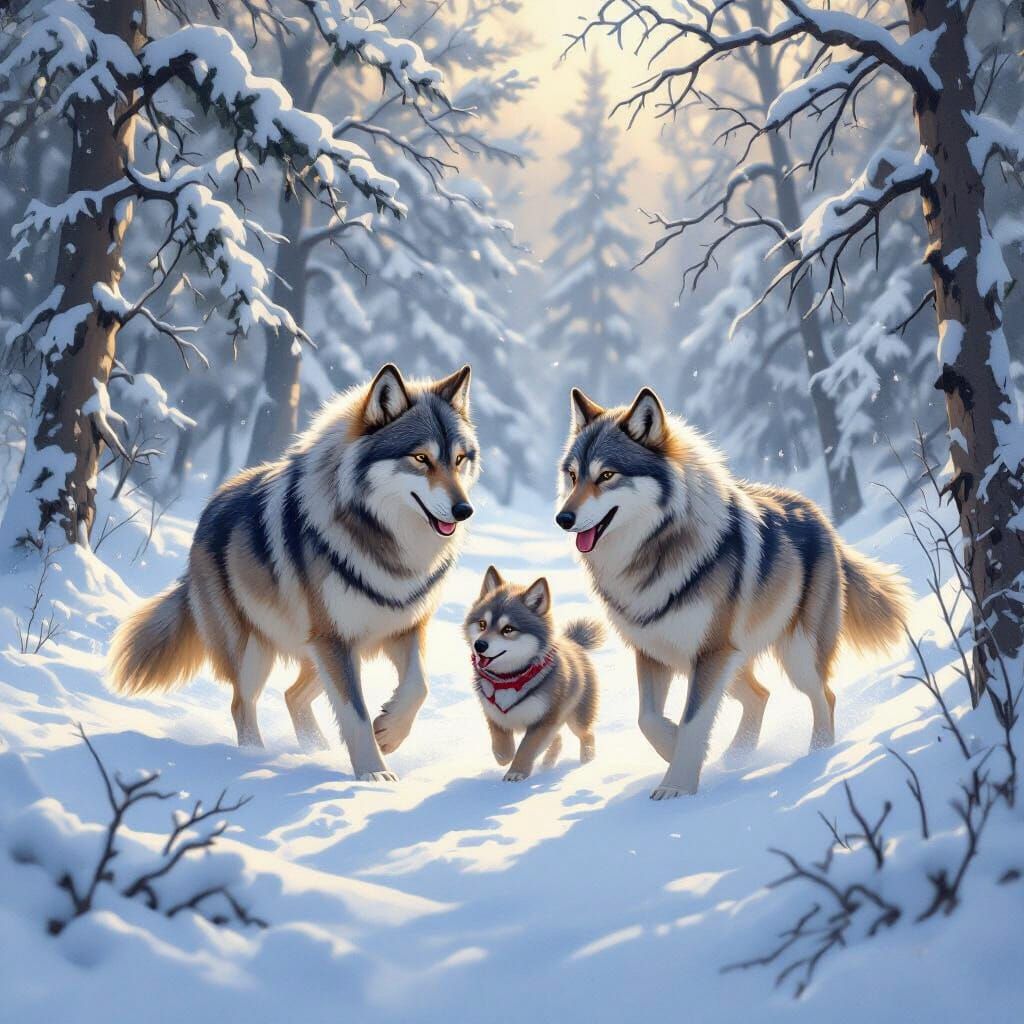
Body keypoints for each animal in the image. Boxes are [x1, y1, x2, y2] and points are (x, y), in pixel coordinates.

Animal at [109, 363, 480, 781]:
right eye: (420, 458)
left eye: (460, 459)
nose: (465, 510)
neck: (385, 543)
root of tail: (209, 508)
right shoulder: (335, 639)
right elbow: (356, 713)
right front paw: (374, 774)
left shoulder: (404, 628)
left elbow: (419, 686)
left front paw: (388, 733)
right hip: (259, 651)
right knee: (242, 704)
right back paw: (253, 756)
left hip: (323, 652)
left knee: (291, 694)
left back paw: (314, 749)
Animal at [464, 567, 603, 781]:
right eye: (482, 624)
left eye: (508, 629)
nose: (479, 645)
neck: (509, 678)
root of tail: (574, 643)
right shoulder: (494, 715)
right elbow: (503, 750)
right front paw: (506, 758)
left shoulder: (545, 718)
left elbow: (527, 748)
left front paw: (516, 772)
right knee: (558, 738)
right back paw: (547, 764)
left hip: (577, 715)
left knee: (586, 734)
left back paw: (586, 761)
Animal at [556, 386, 910, 799]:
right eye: (573, 476)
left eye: (607, 475)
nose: (562, 518)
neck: (655, 552)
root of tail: (821, 517)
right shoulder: (653, 652)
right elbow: (649, 720)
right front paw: (680, 752)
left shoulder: (709, 654)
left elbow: (692, 721)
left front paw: (677, 785)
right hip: (731, 660)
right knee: (761, 695)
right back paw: (736, 757)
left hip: (794, 655)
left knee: (824, 695)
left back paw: (817, 755)